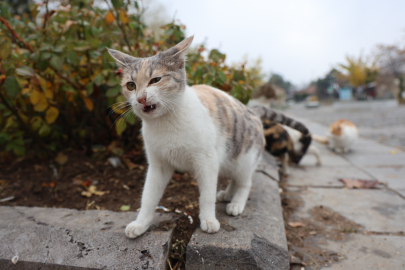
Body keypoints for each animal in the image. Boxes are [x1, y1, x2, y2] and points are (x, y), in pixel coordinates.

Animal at [105, 36, 308, 238]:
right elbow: (148, 196)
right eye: (131, 85)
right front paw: (140, 224)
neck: (165, 123)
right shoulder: (158, 165)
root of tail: (252, 110)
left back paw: (236, 203)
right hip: (228, 160)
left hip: (245, 159)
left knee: (245, 182)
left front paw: (209, 220)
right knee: (233, 178)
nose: (140, 98)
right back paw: (227, 194)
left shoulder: (207, 162)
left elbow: (207, 196)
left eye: (155, 80)